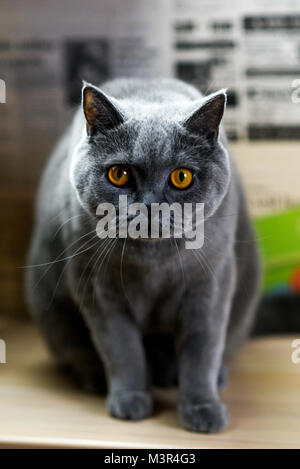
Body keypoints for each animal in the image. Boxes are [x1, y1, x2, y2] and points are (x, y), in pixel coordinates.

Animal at [25, 77, 260, 432]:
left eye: (181, 177)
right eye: (119, 174)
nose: (150, 205)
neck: (153, 261)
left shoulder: (209, 287)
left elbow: (202, 351)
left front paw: (202, 409)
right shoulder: (100, 291)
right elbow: (122, 349)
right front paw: (130, 401)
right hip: (51, 308)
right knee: (76, 350)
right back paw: (98, 379)